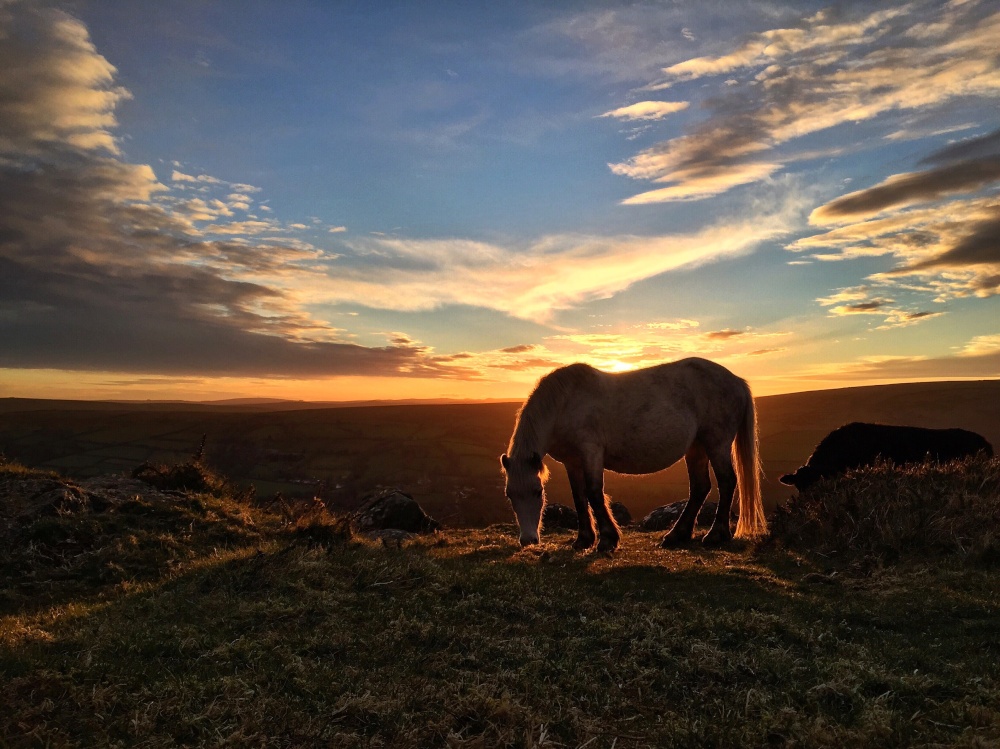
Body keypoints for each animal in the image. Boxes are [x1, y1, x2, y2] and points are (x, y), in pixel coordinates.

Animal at [500, 356, 764, 548]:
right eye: (510, 495)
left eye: (537, 492)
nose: (528, 540)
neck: (565, 403)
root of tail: (737, 381)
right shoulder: (572, 461)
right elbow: (579, 496)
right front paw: (584, 539)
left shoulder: (591, 453)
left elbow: (594, 493)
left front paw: (608, 539)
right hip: (696, 448)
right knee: (700, 487)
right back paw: (677, 535)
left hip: (717, 445)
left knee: (727, 482)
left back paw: (715, 535)